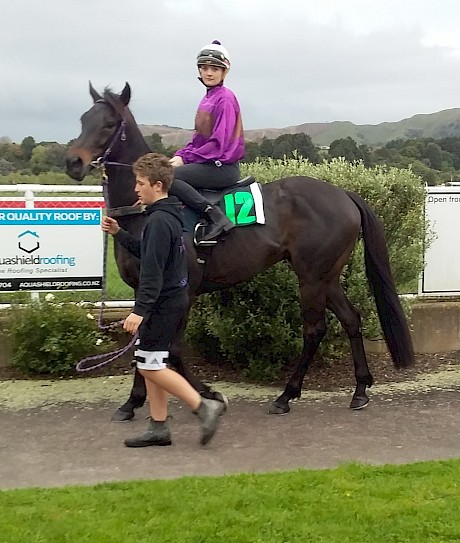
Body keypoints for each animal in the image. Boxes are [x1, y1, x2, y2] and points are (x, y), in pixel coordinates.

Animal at [66, 82, 416, 420]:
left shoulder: (182, 291)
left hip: (312, 278)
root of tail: (344, 194)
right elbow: (142, 341)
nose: (73, 162)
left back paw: (286, 395)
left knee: (314, 330)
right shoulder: (147, 289)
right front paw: (133, 401)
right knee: (351, 319)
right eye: (83, 119)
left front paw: (207, 394)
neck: (146, 210)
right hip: (328, 277)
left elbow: (172, 348)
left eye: (110, 123)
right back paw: (360, 390)